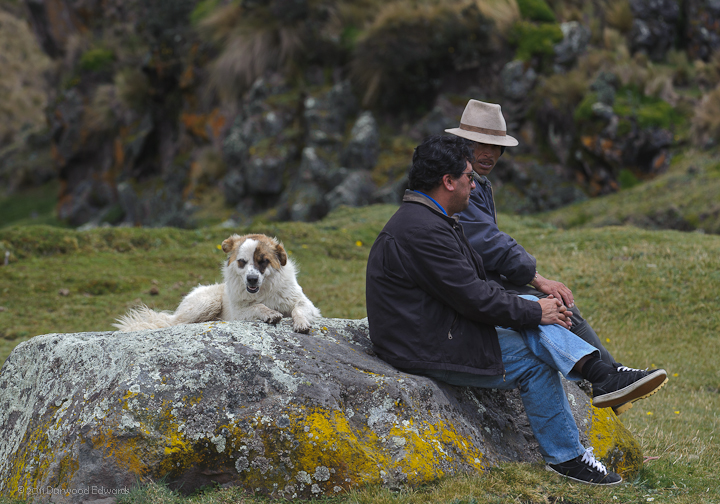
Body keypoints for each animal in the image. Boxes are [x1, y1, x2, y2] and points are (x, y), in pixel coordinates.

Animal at [114, 233, 320, 334]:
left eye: (263, 261)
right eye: (242, 261)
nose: (252, 279)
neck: (263, 291)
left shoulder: (304, 302)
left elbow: (298, 309)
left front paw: (301, 323)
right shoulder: (239, 313)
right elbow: (258, 306)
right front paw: (270, 313)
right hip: (207, 303)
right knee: (173, 323)